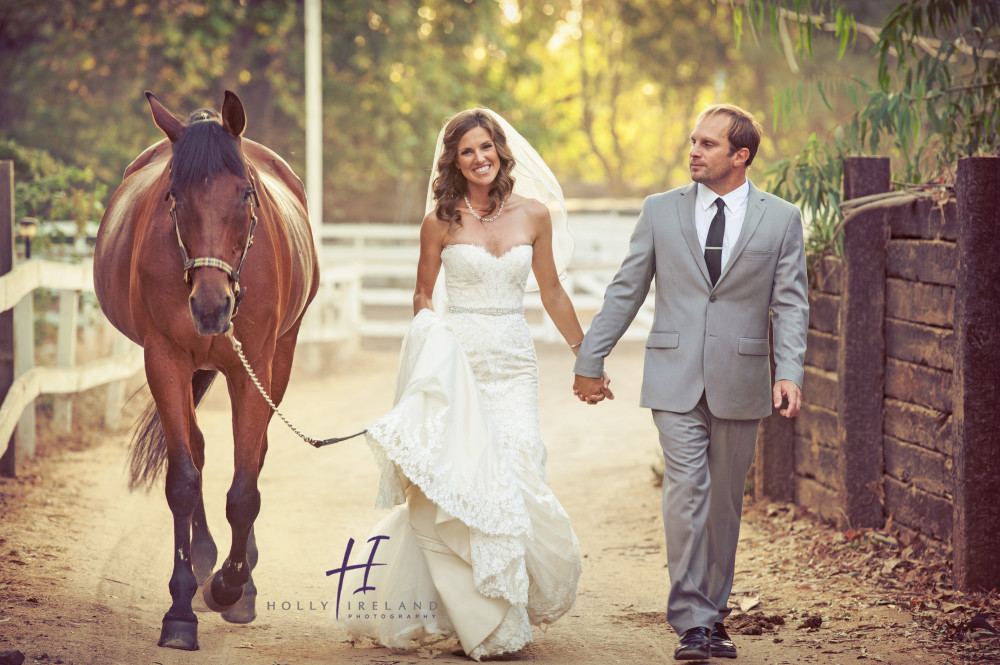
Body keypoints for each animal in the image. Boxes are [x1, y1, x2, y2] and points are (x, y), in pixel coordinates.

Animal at [93, 91, 318, 652]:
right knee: (194, 449)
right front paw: (180, 608)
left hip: (278, 360)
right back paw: (202, 562)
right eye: (173, 196)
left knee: (252, 456)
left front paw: (232, 588)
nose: (212, 306)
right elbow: (182, 480)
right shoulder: (165, 358)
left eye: (245, 194)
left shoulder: (255, 363)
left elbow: (245, 488)